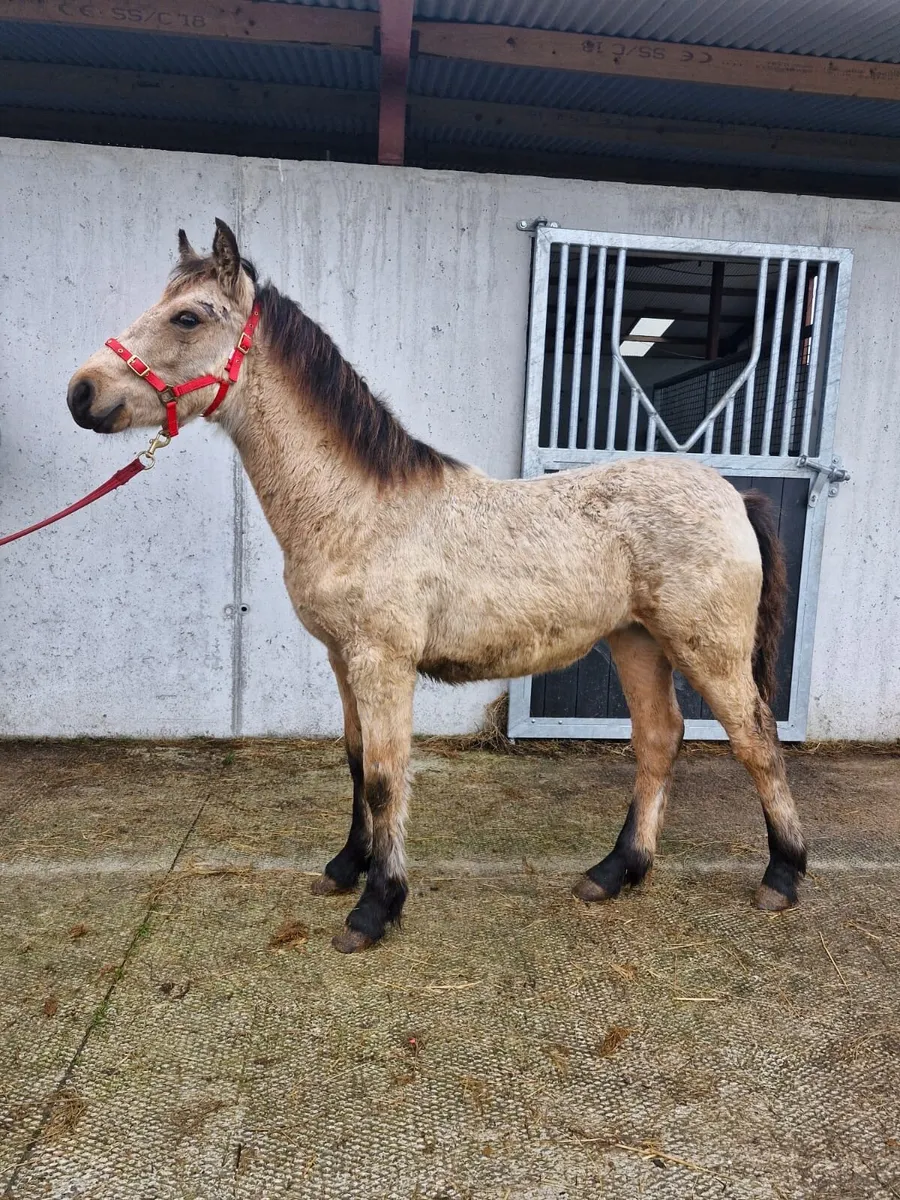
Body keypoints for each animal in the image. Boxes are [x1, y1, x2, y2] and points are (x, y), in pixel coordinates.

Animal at [66, 219, 807, 954]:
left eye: (187, 317)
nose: (82, 393)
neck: (357, 508)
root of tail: (733, 494)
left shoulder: (382, 661)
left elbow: (386, 777)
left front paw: (375, 908)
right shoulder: (342, 659)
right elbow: (357, 760)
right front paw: (346, 867)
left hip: (706, 647)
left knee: (755, 739)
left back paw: (783, 875)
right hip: (636, 640)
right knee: (659, 739)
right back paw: (615, 871)